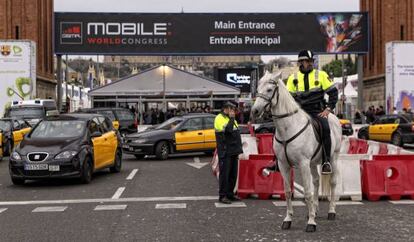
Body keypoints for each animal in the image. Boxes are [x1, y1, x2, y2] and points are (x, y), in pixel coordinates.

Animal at [251, 70, 342, 233]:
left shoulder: (303, 163)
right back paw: (315, 210)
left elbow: (307, 192)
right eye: (258, 89)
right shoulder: (284, 165)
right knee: (316, 181)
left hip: (333, 158)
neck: (288, 128)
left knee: (332, 182)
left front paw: (311, 223)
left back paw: (331, 211)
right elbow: (288, 192)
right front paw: (288, 219)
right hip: (313, 163)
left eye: (269, 90)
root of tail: (332, 116)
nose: (255, 111)